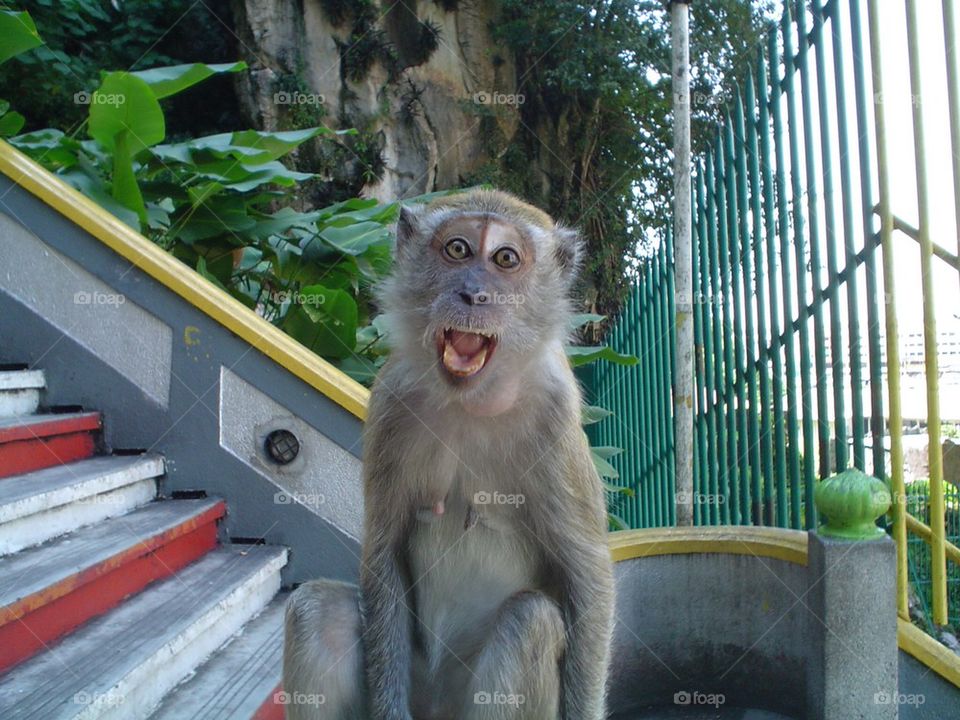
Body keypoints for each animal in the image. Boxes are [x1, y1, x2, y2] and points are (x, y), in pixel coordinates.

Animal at [283, 189, 614, 720]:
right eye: (457, 249)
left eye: (505, 259)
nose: (474, 294)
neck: (471, 401)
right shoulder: (390, 401)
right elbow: (385, 547)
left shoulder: (557, 416)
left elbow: (588, 577)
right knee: (319, 608)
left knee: (530, 620)